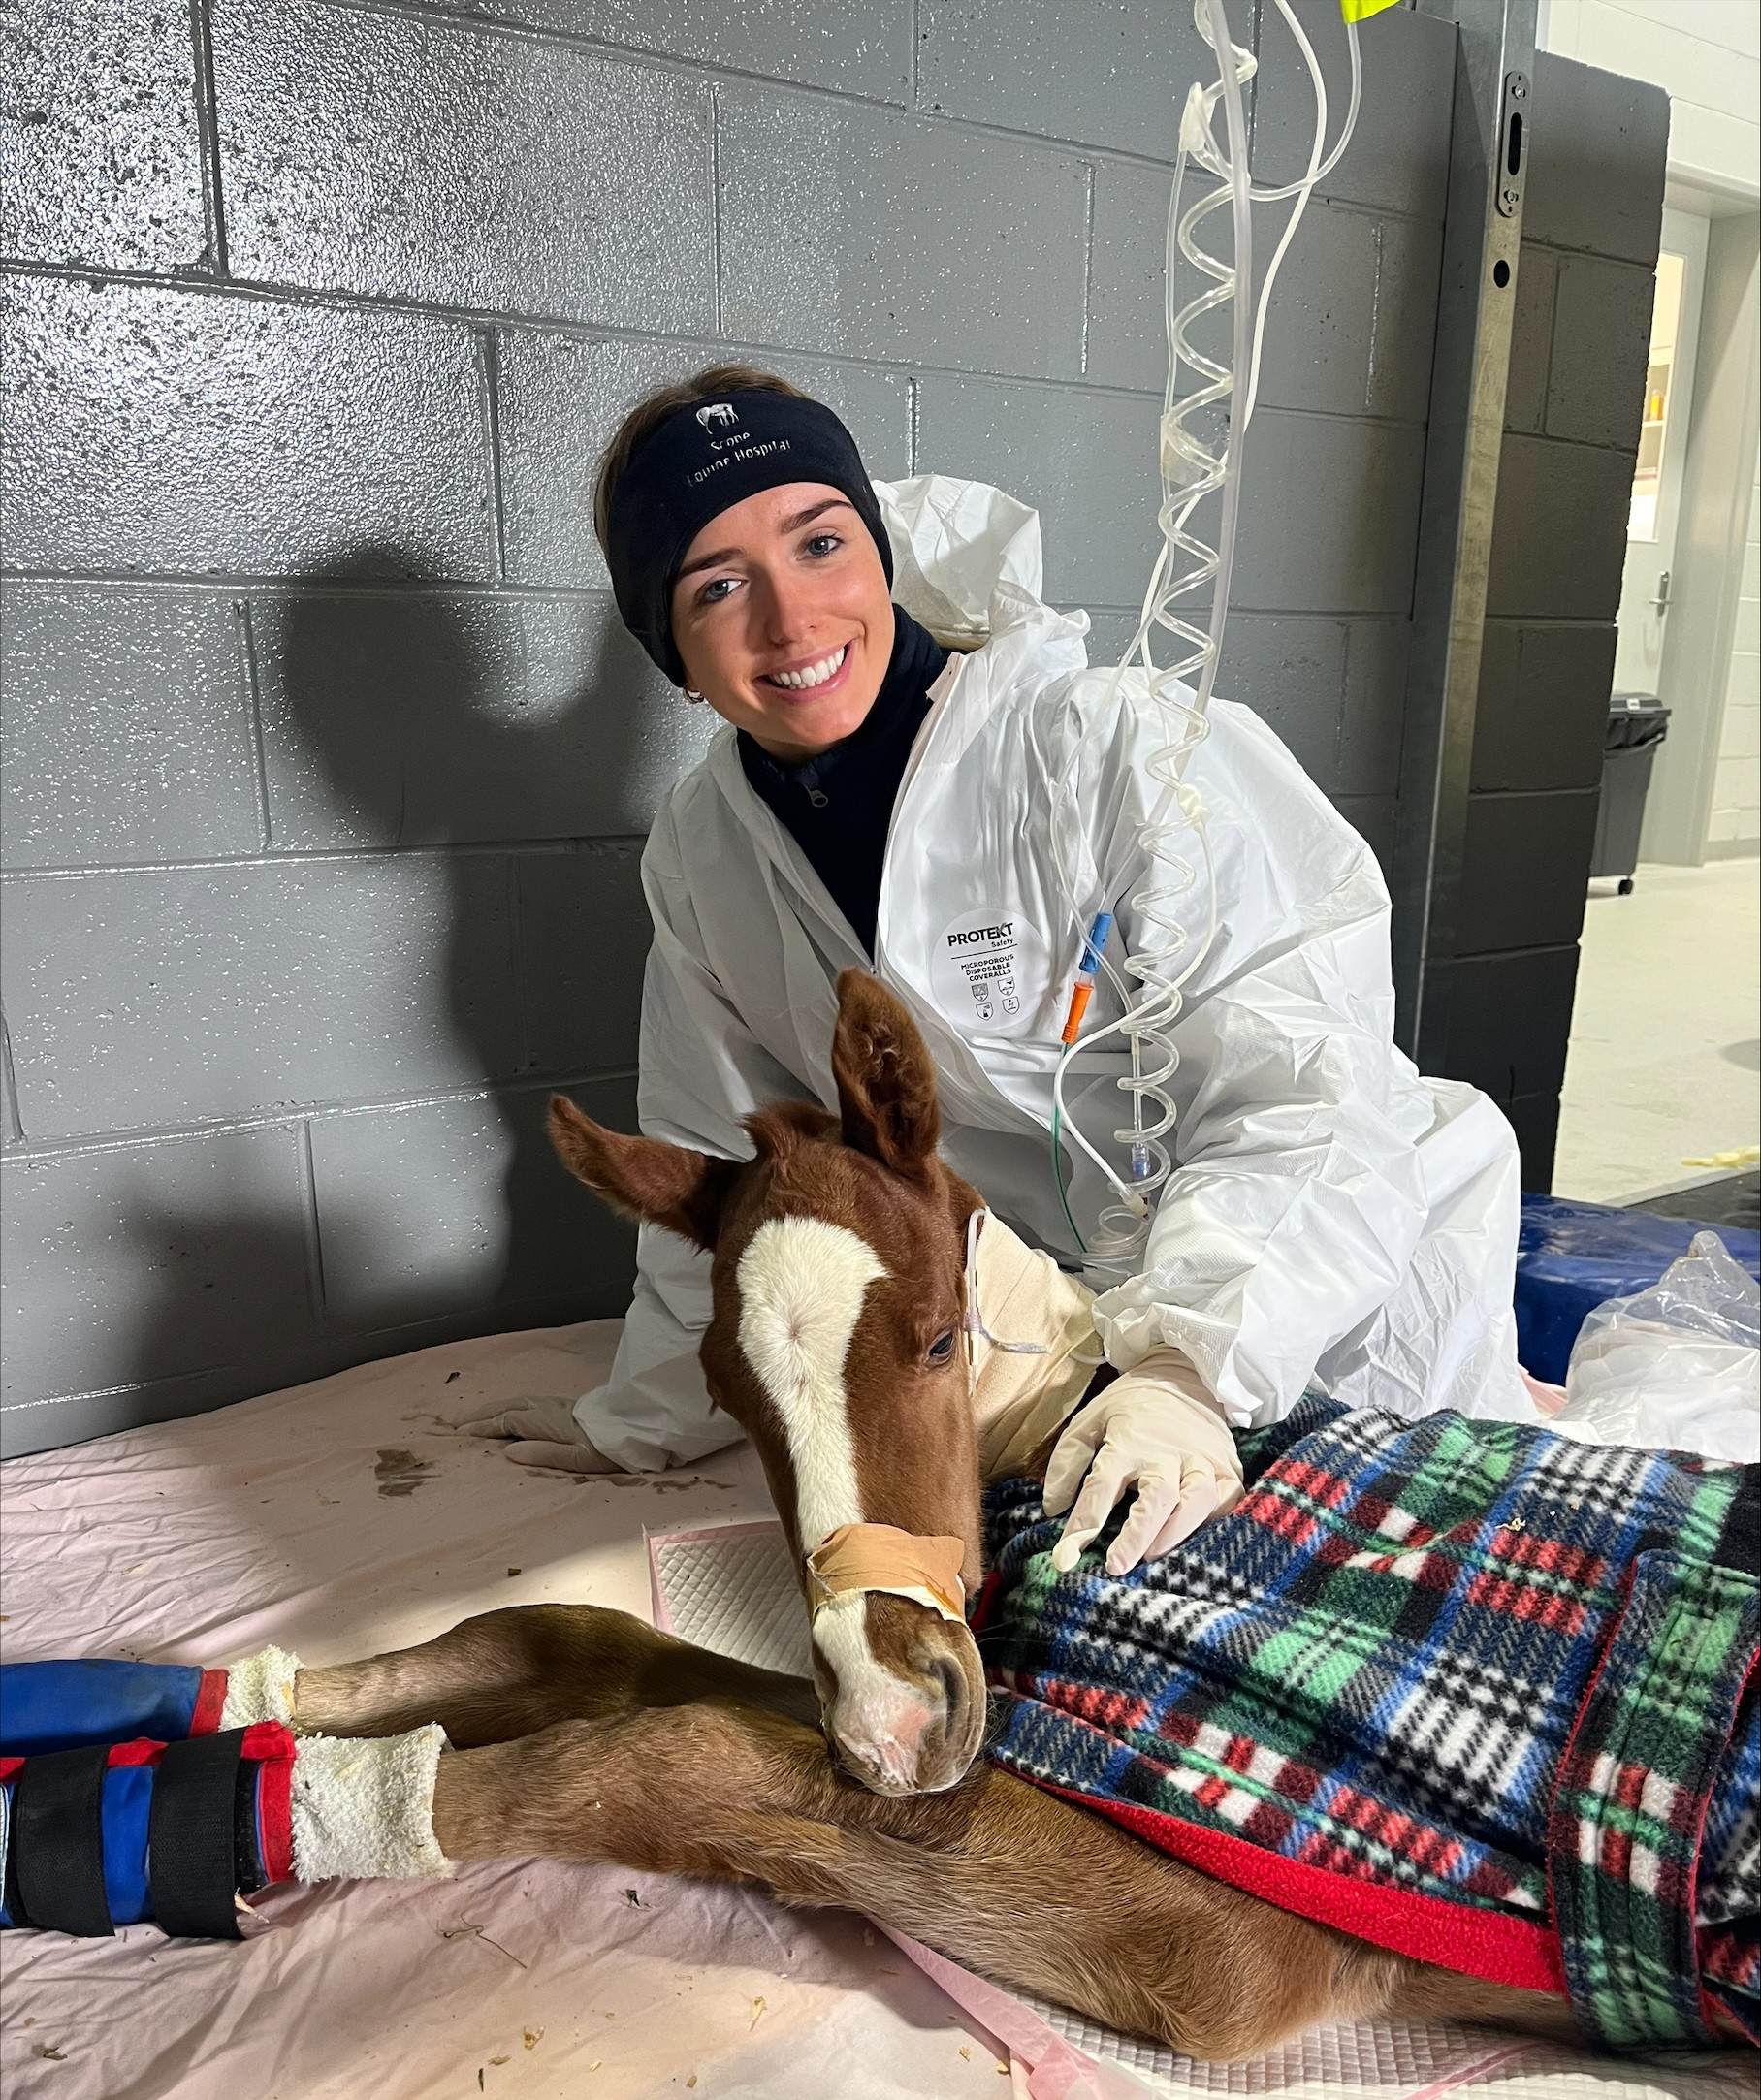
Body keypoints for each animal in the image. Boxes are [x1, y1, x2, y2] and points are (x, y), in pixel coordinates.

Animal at [287, 970, 1584, 2059]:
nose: (892, 1719)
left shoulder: (1239, 1939)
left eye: (940, 1340)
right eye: (721, 1392)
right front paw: (278, 1700)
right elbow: (582, 1645)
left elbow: (674, 1753)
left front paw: (308, 1807)